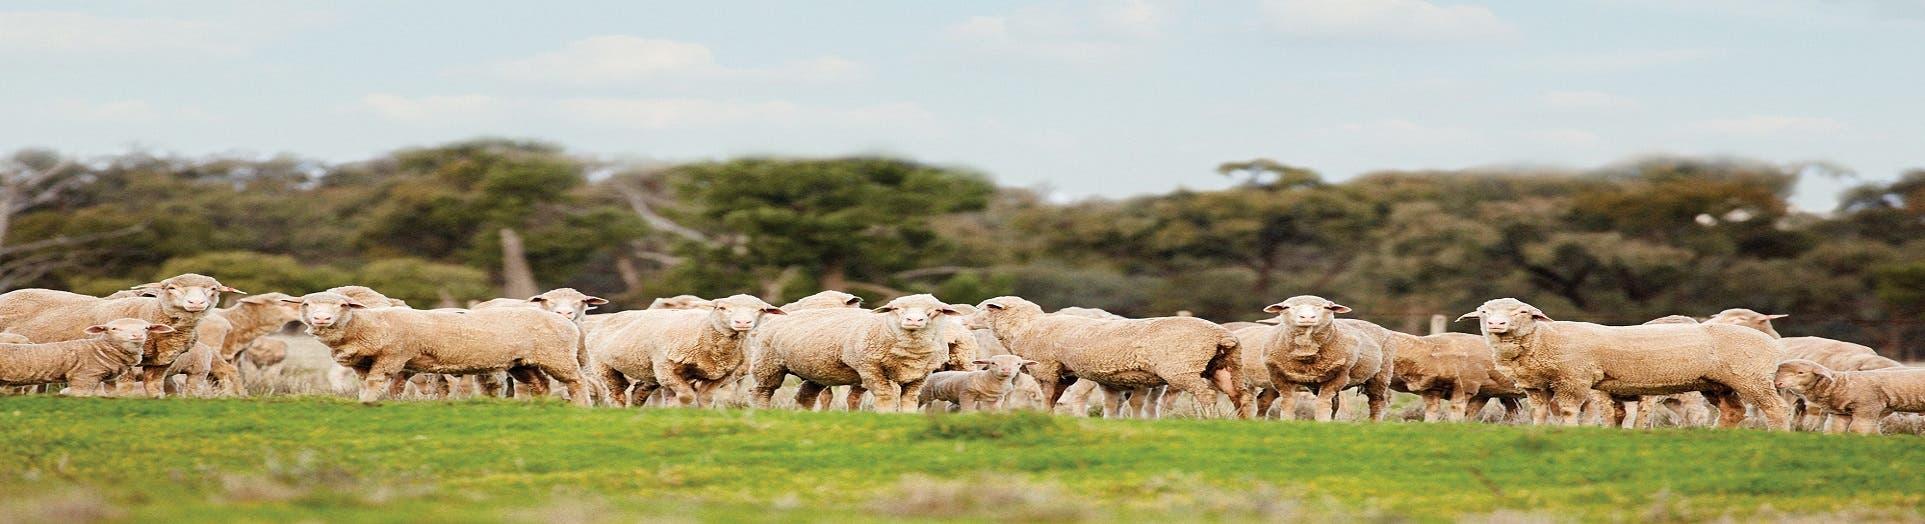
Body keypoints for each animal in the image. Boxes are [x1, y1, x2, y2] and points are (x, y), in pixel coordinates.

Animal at [585, 292, 781, 406]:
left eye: (761, 310)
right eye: (723, 308)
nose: (743, 322)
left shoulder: (721, 375)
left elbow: (706, 398)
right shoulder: (667, 369)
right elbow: (687, 396)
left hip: (648, 371)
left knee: (639, 391)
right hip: (604, 366)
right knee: (617, 392)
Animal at [750, 294, 962, 414]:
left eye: (935, 311)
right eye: (896, 309)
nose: (913, 320)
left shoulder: (920, 376)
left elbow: (909, 400)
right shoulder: (870, 368)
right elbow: (885, 395)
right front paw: (885, 415)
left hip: (815, 370)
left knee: (805, 396)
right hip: (768, 365)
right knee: (762, 392)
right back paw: (760, 411)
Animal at [1455, 298, 1786, 429]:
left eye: (1523, 312)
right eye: (1484, 312)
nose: (1497, 324)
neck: (1544, 339)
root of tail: (1773, 344)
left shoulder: (1574, 380)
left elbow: (1568, 410)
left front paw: (1570, 429)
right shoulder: (1534, 386)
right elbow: (1539, 412)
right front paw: (1539, 429)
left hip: (1752, 378)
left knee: (1775, 408)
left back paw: (1777, 433)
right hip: (1717, 384)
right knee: (1734, 411)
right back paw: (1718, 433)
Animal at [1771, 360, 1925, 433]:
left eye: (1801, 372)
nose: (1778, 383)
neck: (1841, 383)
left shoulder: (1866, 409)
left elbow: (1856, 431)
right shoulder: (1841, 415)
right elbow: (1834, 431)